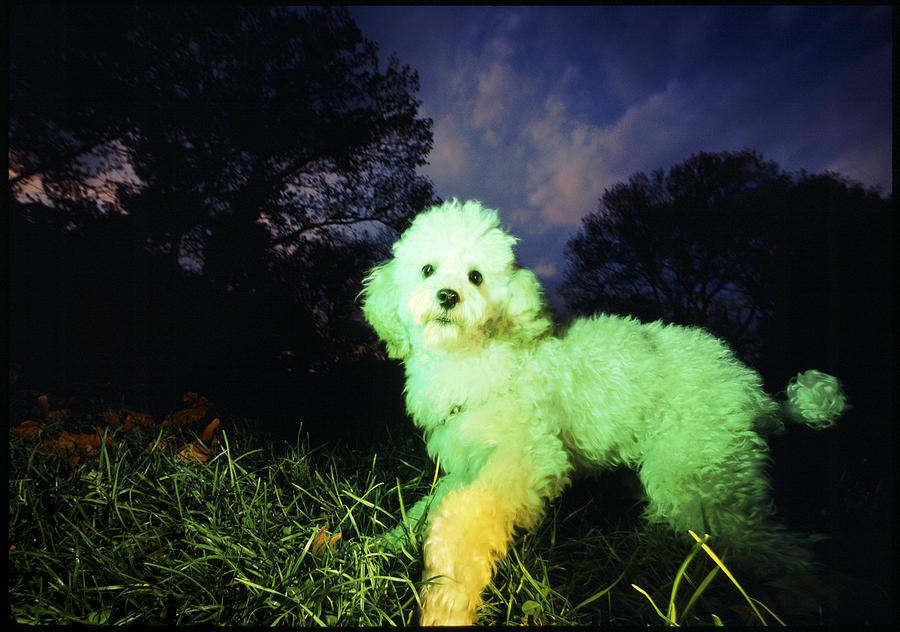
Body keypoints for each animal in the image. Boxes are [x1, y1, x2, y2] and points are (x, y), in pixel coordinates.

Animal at [358, 200, 844, 624]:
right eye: (427, 269)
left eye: (476, 277)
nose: (447, 296)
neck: (478, 356)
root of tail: (758, 393)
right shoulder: (468, 463)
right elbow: (426, 507)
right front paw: (384, 545)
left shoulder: (527, 458)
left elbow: (462, 519)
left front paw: (448, 594)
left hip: (701, 481)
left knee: (782, 546)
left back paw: (804, 596)